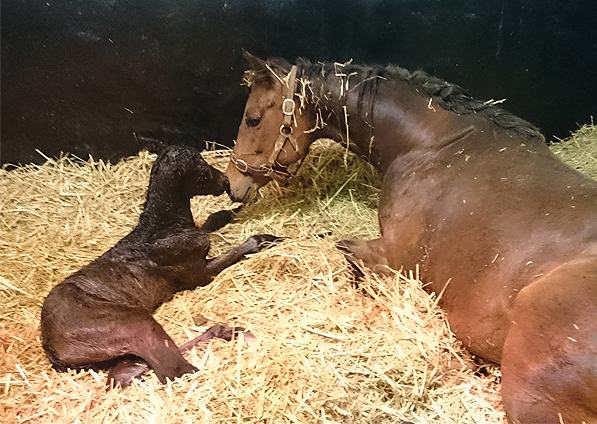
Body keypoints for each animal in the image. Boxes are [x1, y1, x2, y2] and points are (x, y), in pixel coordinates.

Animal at [40, 145, 278, 388]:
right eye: (202, 168)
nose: (225, 182)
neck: (161, 228)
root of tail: (50, 346)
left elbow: (213, 221)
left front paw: (240, 207)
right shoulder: (199, 273)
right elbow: (236, 250)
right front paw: (265, 239)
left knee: (125, 372)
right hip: (134, 322)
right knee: (176, 371)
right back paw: (230, 333)